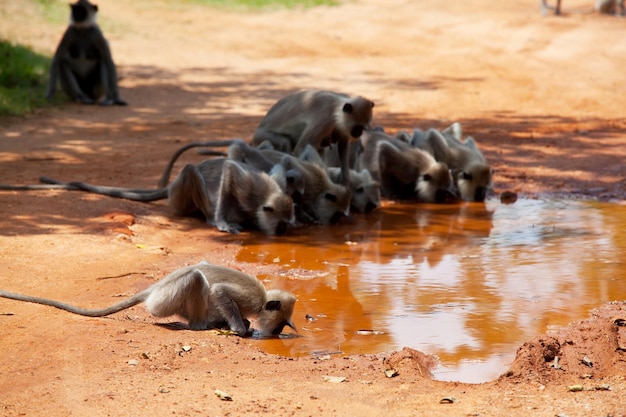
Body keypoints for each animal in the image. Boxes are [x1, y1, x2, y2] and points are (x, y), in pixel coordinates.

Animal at [0, 262, 296, 336]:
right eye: (280, 325)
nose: (277, 334)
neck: (263, 299)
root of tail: (157, 287)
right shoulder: (251, 298)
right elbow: (220, 292)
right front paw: (240, 328)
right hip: (163, 301)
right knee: (196, 277)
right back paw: (199, 325)